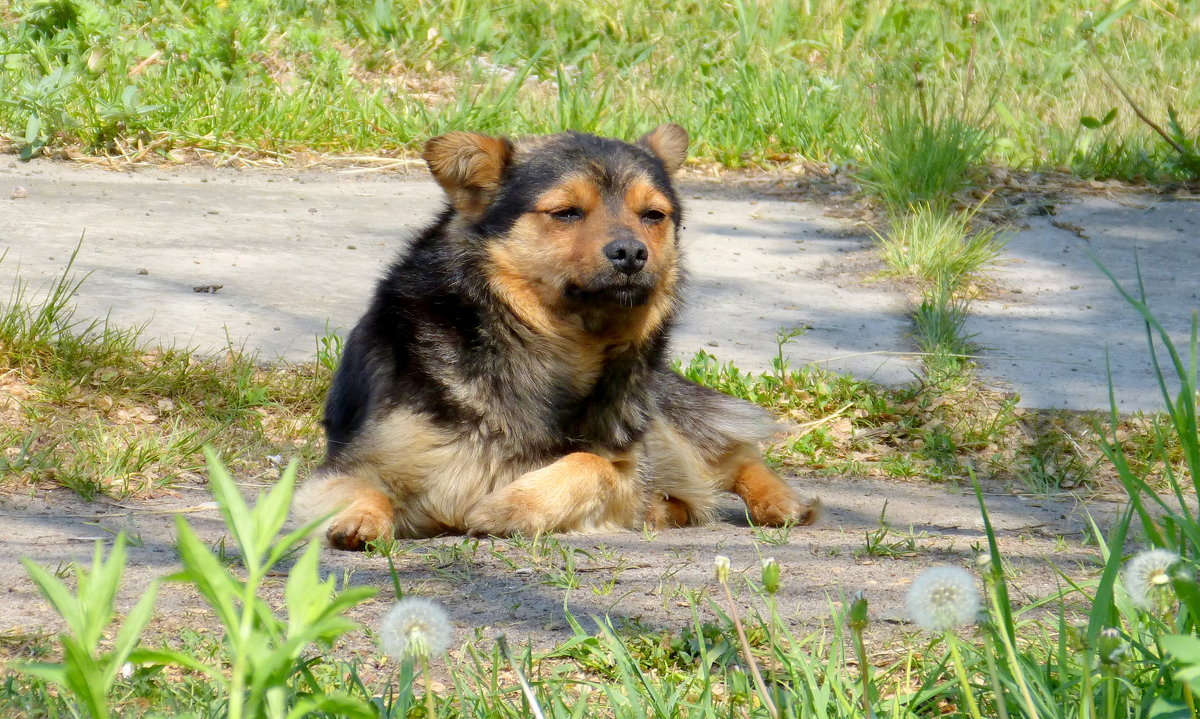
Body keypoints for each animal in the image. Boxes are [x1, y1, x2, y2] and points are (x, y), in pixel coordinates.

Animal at [292, 125, 816, 552]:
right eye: (565, 213)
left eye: (653, 215)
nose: (631, 253)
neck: (543, 345)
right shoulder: (350, 465)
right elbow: (362, 489)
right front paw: (359, 519)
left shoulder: (627, 463)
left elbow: (593, 464)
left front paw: (509, 507)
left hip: (659, 420)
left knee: (731, 455)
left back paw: (781, 502)